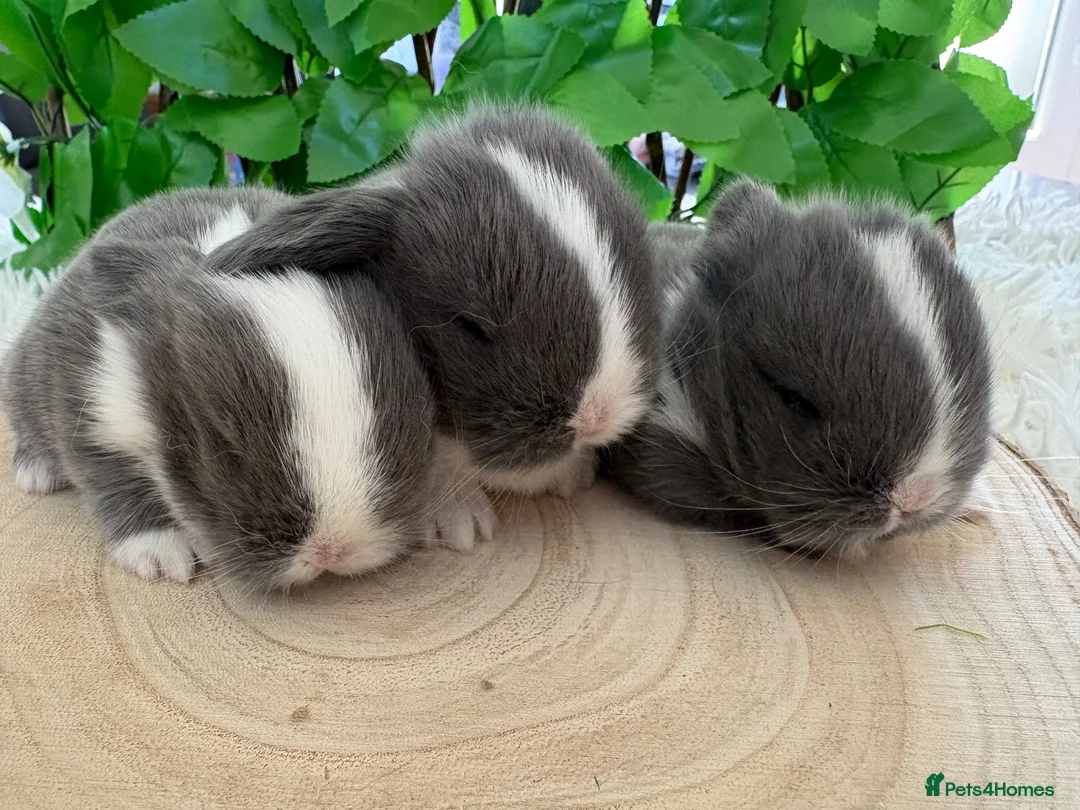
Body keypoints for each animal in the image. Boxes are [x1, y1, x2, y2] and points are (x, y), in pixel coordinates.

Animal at [2, 195, 435, 592]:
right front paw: (161, 556)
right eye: (222, 441)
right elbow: (117, 487)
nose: (332, 552)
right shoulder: (94, 418)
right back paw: (36, 473)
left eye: (411, 404)